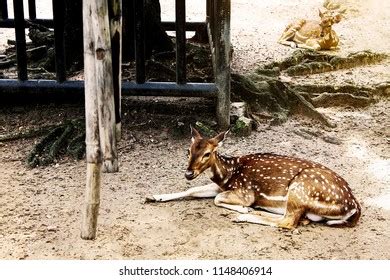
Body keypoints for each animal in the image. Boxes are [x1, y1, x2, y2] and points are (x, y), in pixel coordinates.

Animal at [148, 128, 362, 229]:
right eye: (188, 150)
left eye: (207, 153)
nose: (188, 173)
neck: (228, 173)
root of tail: (354, 208)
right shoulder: (221, 186)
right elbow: (192, 190)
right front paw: (153, 196)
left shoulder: (245, 191)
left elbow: (217, 199)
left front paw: (243, 208)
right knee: (297, 219)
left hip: (300, 188)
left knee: (288, 221)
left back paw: (243, 215)